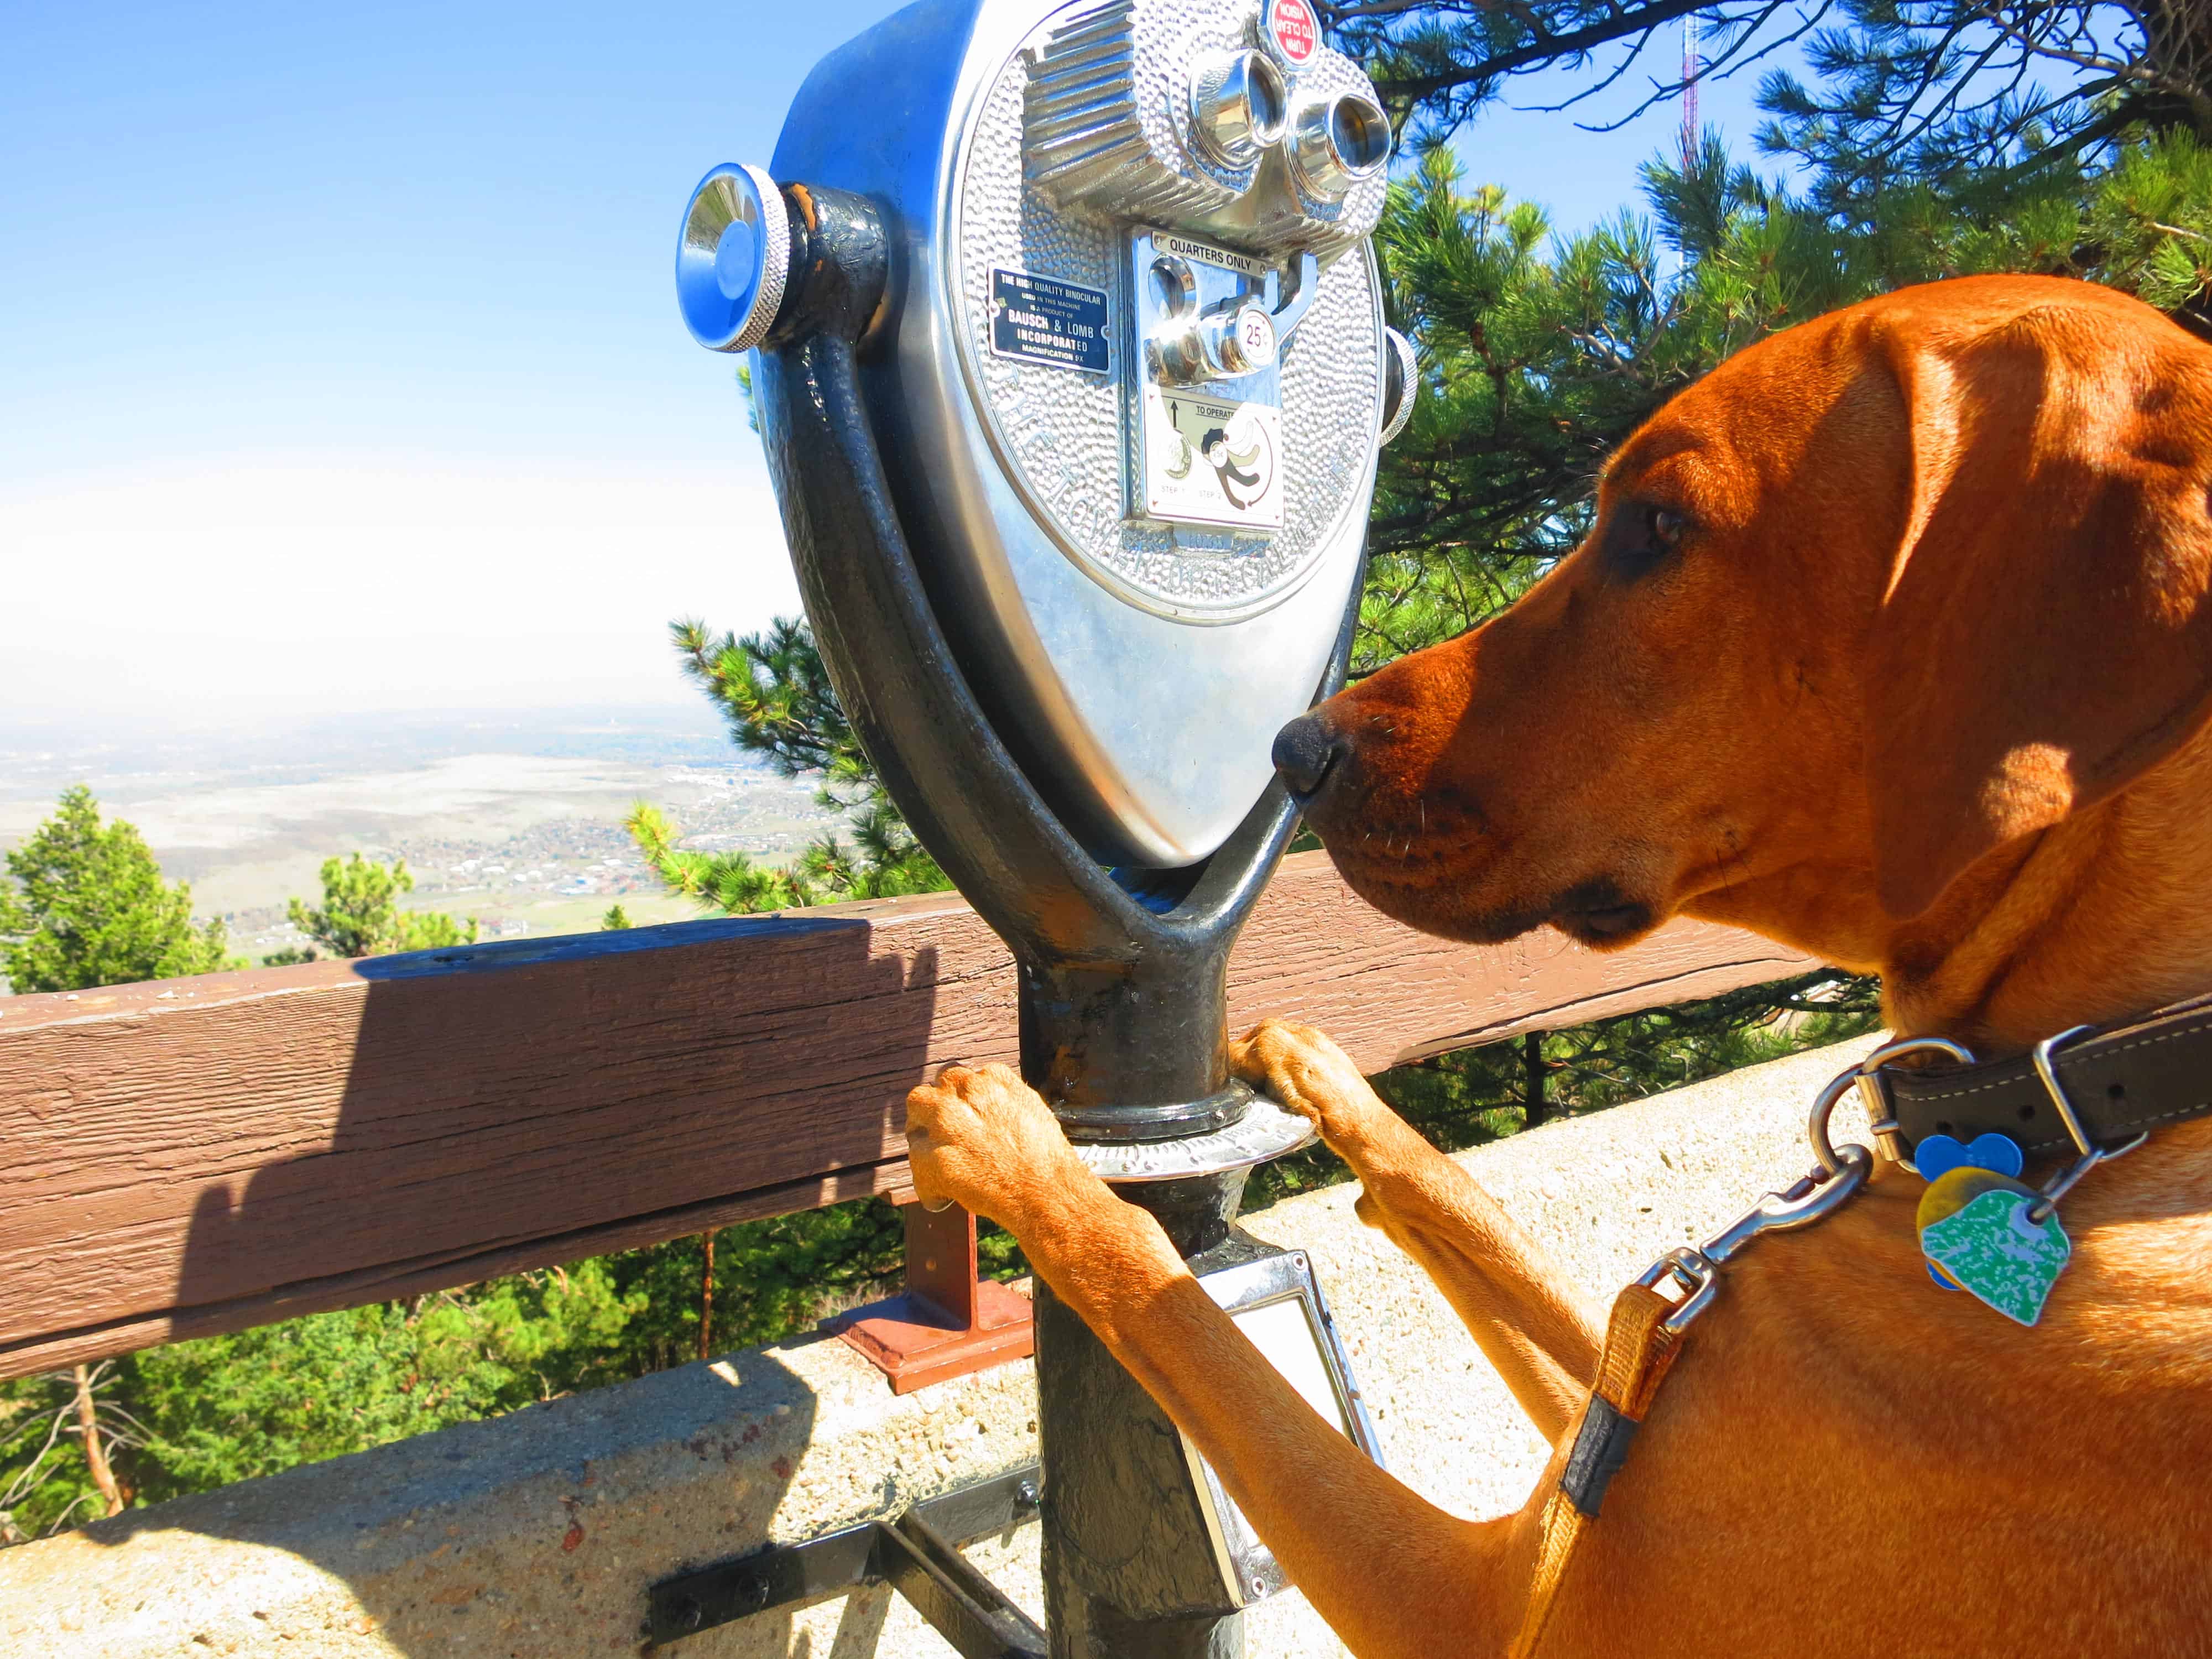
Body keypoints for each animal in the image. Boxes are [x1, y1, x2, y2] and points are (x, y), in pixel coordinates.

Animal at [898, 280, 2212, 1655]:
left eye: (1656, 527)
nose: (1294, 749)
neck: (2076, 1098)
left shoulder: (1482, 1601)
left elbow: (1179, 1311)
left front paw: (1014, 1154)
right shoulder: (1621, 1378)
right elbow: (1464, 1207)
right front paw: (1320, 1077)